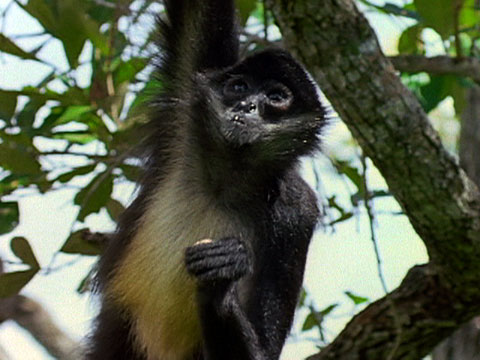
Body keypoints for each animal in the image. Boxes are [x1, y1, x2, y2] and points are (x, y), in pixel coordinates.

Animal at [87, 0, 324, 360]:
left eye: (276, 97)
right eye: (238, 87)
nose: (247, 105)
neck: (226, 180)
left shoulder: (298, 209)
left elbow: (265, 350)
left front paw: (220, 279)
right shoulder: (187, 110)